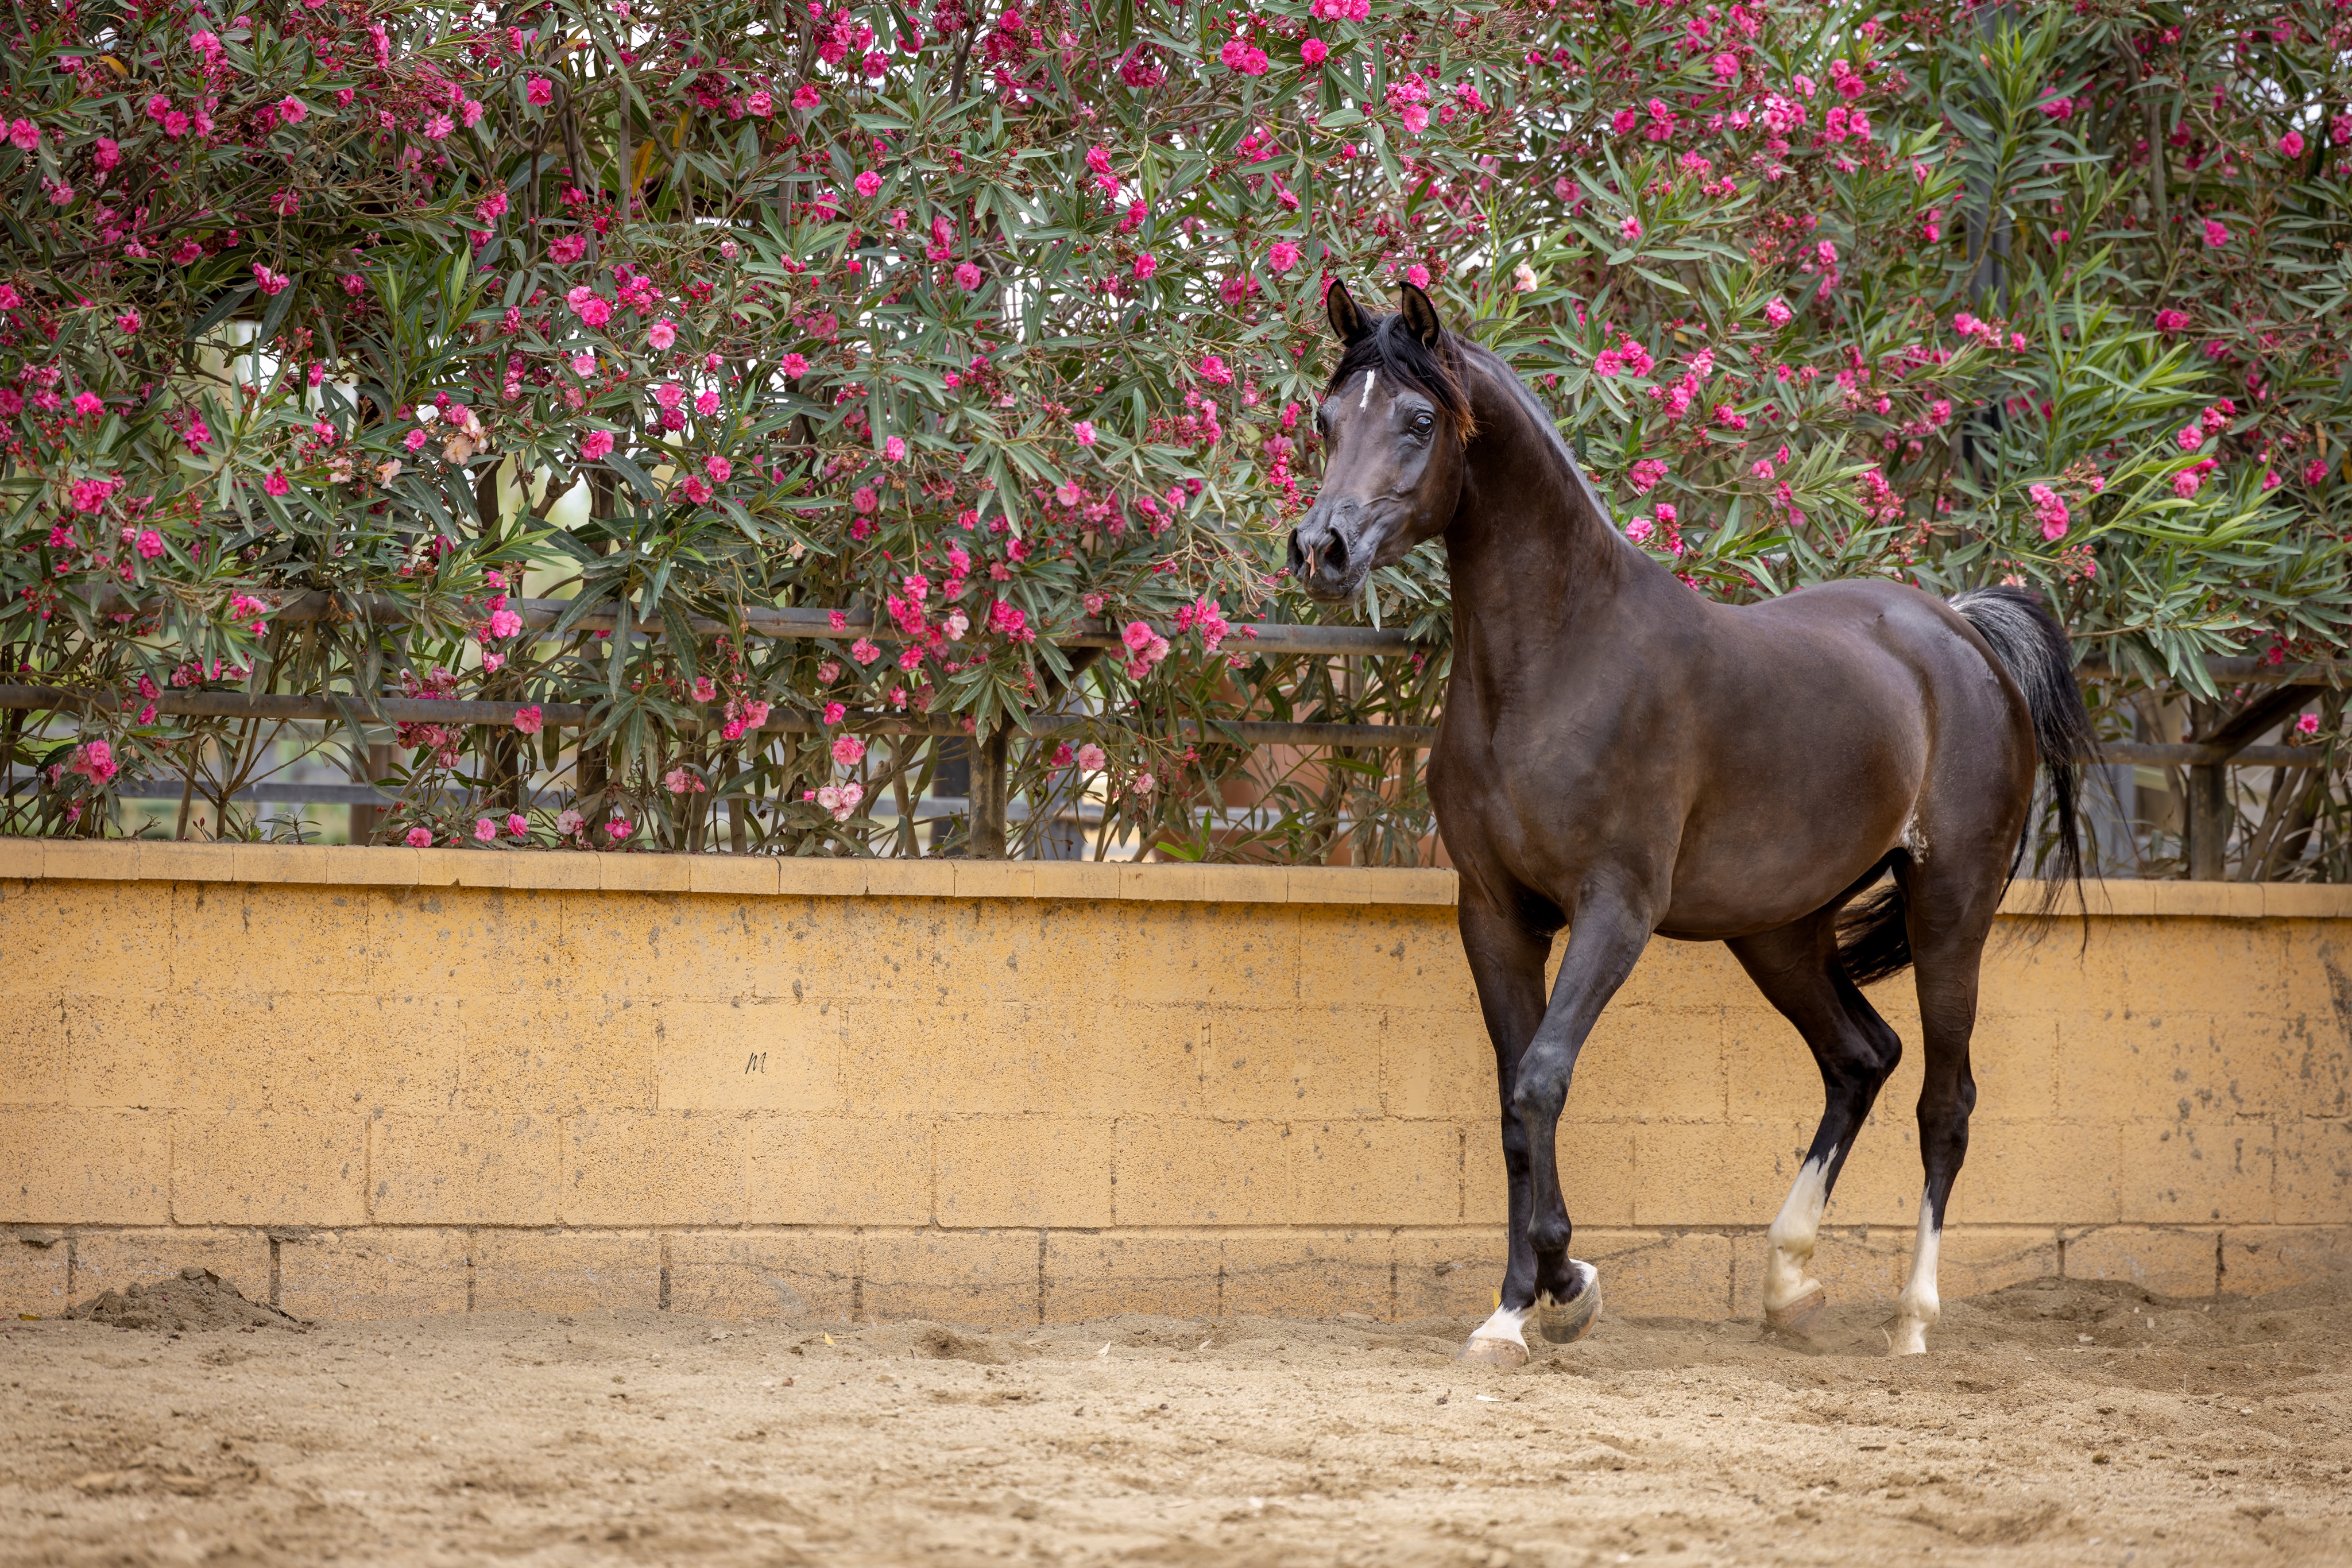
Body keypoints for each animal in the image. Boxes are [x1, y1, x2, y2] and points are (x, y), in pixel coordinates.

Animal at [1288, 281, 2092, 1363]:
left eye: (1418, 420)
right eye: (1326, 418)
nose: (1322, 549)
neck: (1560, 661)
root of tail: (1964, 632)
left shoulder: (1616, 910)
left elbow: (1542, 1079)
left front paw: (1570, 1284)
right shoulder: (1492, 912)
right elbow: (1510, 1102)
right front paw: (1511, 1311)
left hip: (1951, 908)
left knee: (1945, 1098)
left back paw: (1911, 1321)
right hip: (1778, 930)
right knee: (1860, 1057)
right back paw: (1787, 1281)